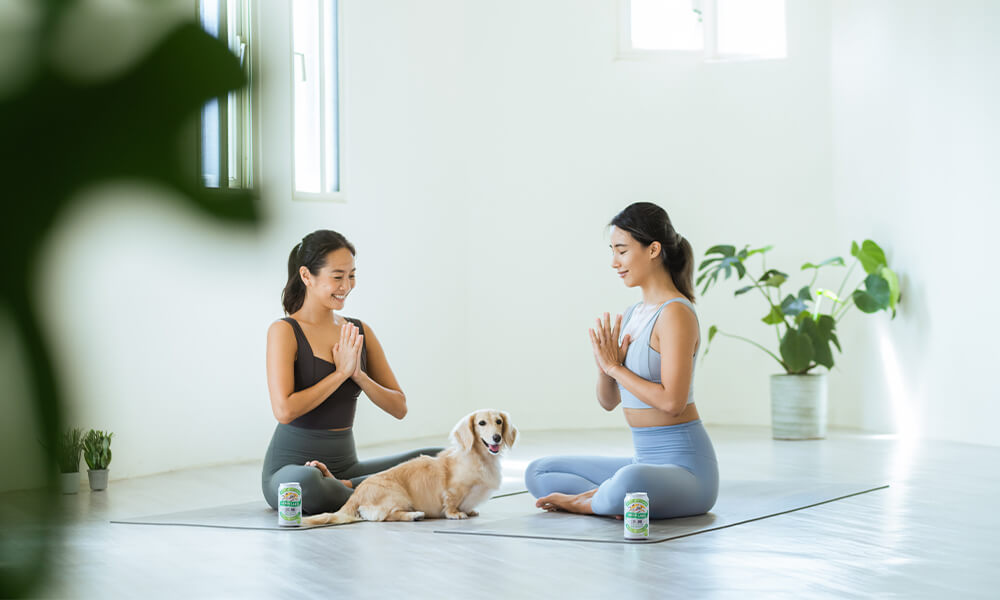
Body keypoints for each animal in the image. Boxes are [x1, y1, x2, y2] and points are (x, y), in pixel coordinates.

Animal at [302, 408, 516, 524]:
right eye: (481, 423)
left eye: (499, 421)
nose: (496, 437)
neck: (479, 458)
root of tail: (355, 495)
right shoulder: (452, 490)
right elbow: (451, 503)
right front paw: (456, 514)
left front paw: (470, 511)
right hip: (398, 495)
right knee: (387, 516)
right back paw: (415, 515)